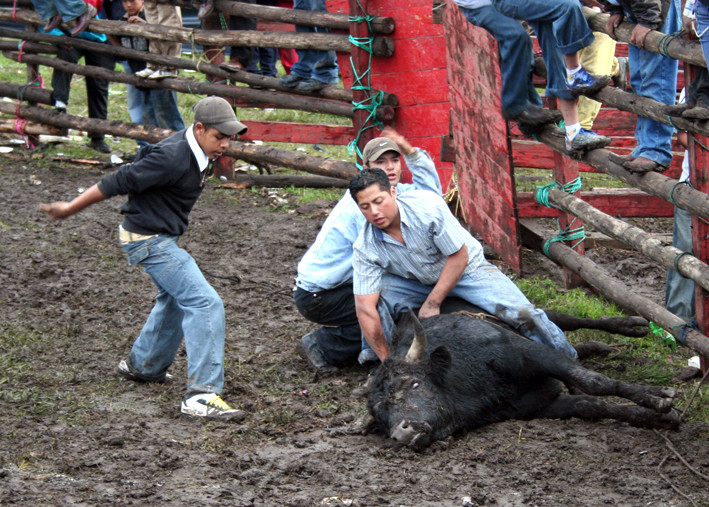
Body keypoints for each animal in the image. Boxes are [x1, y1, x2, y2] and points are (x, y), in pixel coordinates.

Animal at [366, 308, 680, 450]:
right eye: (381, 415)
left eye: (413, 383)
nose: (402, 432)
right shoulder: (539, 405)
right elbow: (591, 405)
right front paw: (658, 418)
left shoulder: (530, 354)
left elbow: (595, 381)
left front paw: (658, 397)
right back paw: (601, 347)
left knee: (567, 321)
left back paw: (633, 325)